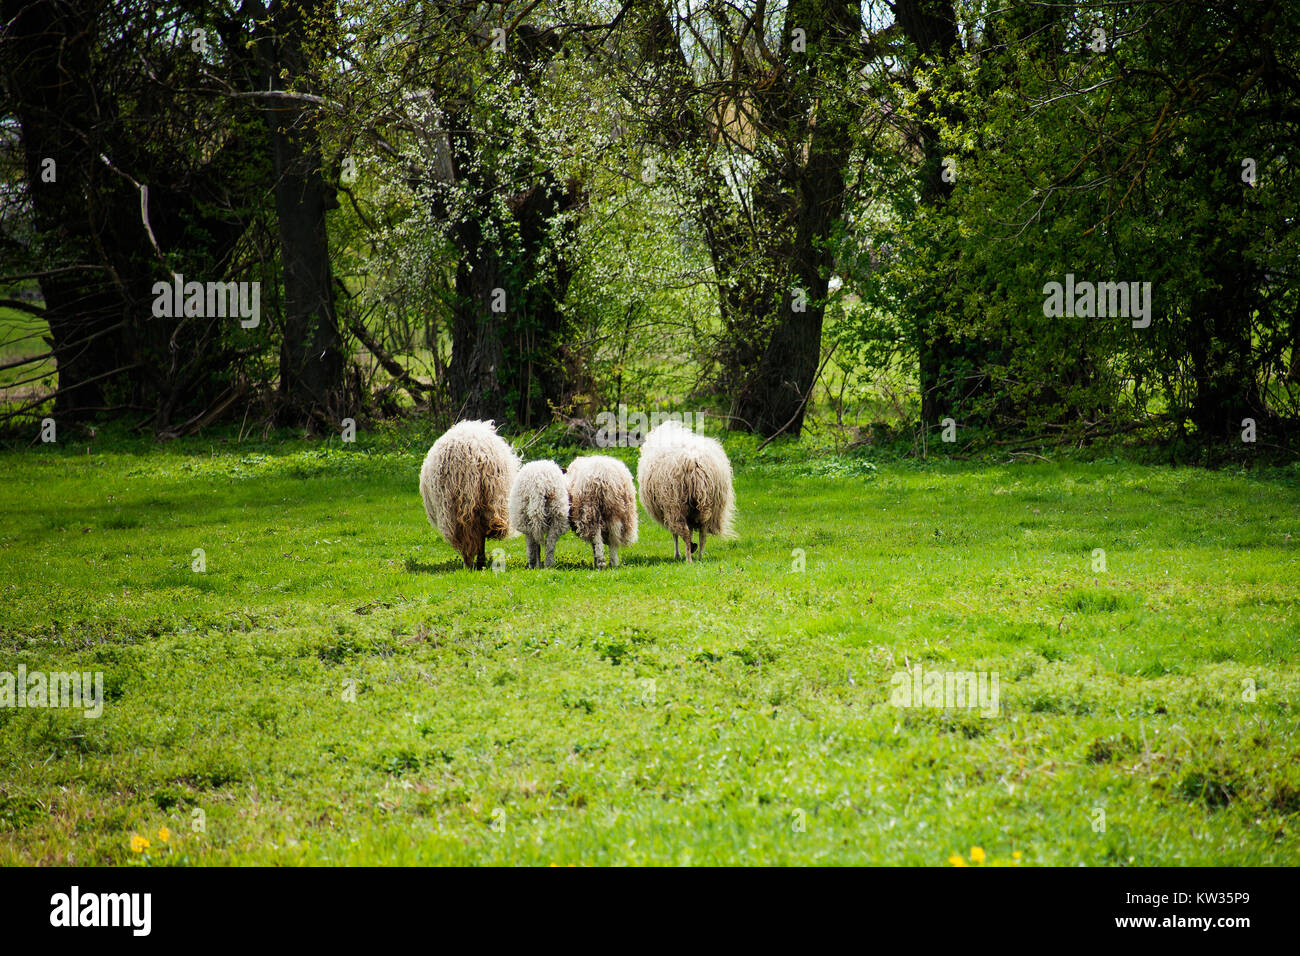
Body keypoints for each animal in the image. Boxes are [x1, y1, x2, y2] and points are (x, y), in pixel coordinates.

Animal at [418, 420, 519, 569]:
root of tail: (477, 451)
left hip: (457, 505)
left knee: (468, 535)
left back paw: (468, 563)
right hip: (489, 498)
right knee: (480, 531)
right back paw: (479, 563)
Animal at [636, 420, 735, 562]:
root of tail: (695, 463)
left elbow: (675, 534)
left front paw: (677, 554)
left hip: (675, 504)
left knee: (684, 532)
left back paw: (689, 559)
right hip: (713, 505)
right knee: (703, 534)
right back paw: (699, 556)